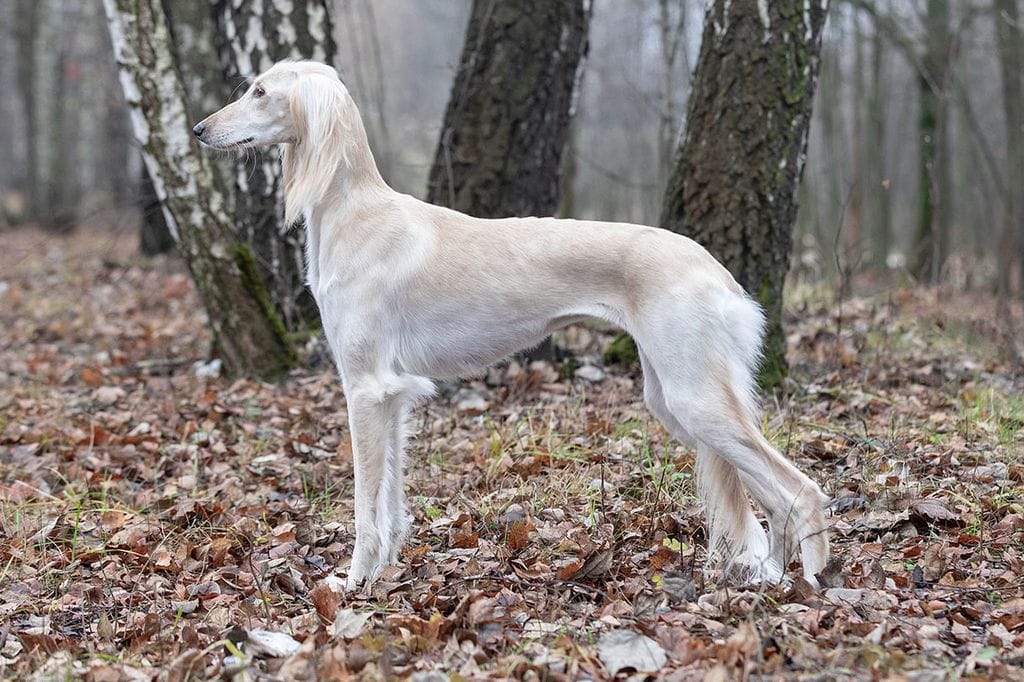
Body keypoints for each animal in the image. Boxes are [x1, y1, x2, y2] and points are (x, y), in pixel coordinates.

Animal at [193, 61, 831, 585]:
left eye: (259, 91)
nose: (199, 130)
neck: (356, 215)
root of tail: (720, 274)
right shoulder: (393, 394)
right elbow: (391, 501)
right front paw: (385, 573)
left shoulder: (365, 388)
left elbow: (365, 505)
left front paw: (354, 584)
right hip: (672, 399)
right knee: (773, 497)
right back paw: (771, 577)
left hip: (694, 397)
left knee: (802, 492)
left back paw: (803, 585)